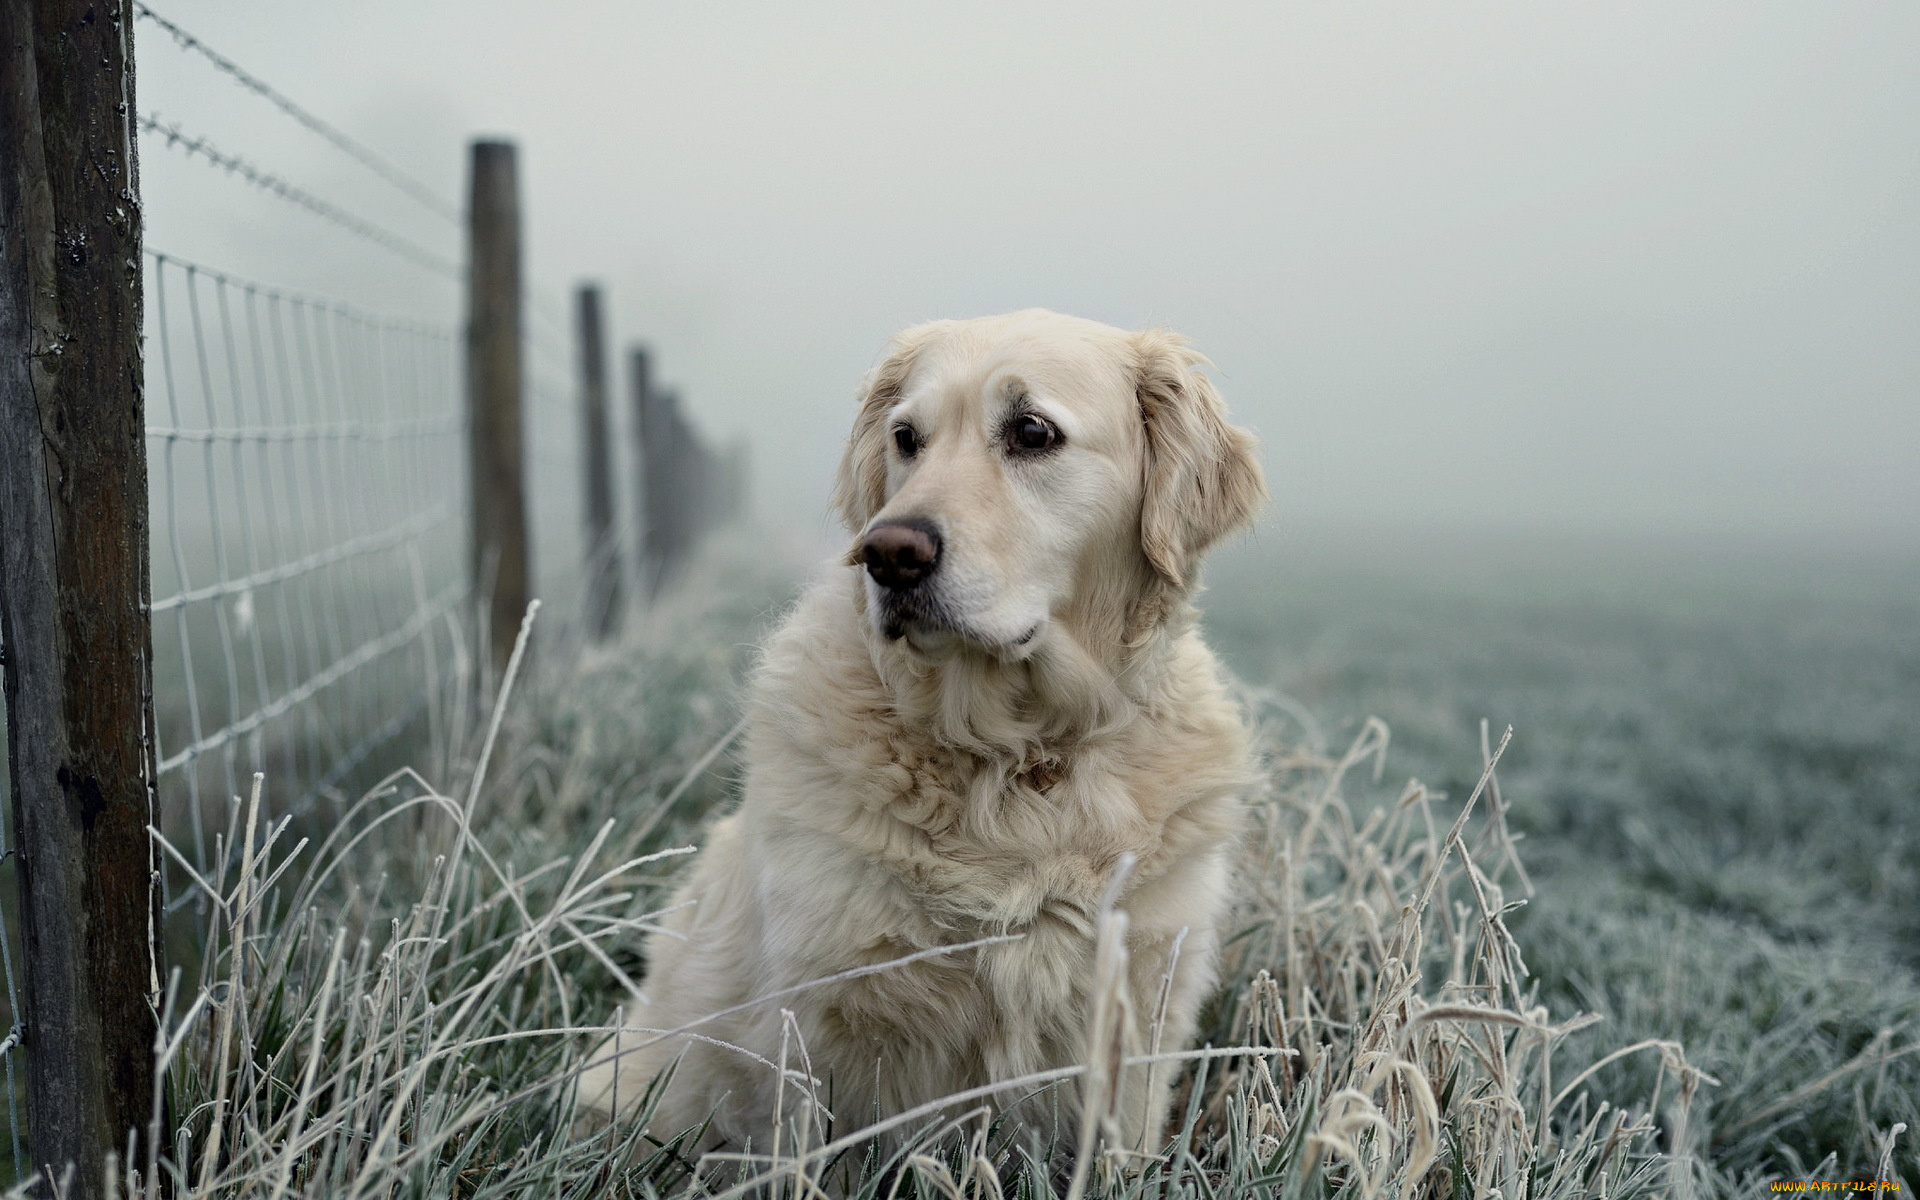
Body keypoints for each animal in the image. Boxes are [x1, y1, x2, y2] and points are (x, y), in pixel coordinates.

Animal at [579, 307, 1274, 1159]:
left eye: (1032, 431)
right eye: (907, 437)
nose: (888, 553)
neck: (1019, 757)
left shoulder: (1140, 998)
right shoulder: (825, 1021)